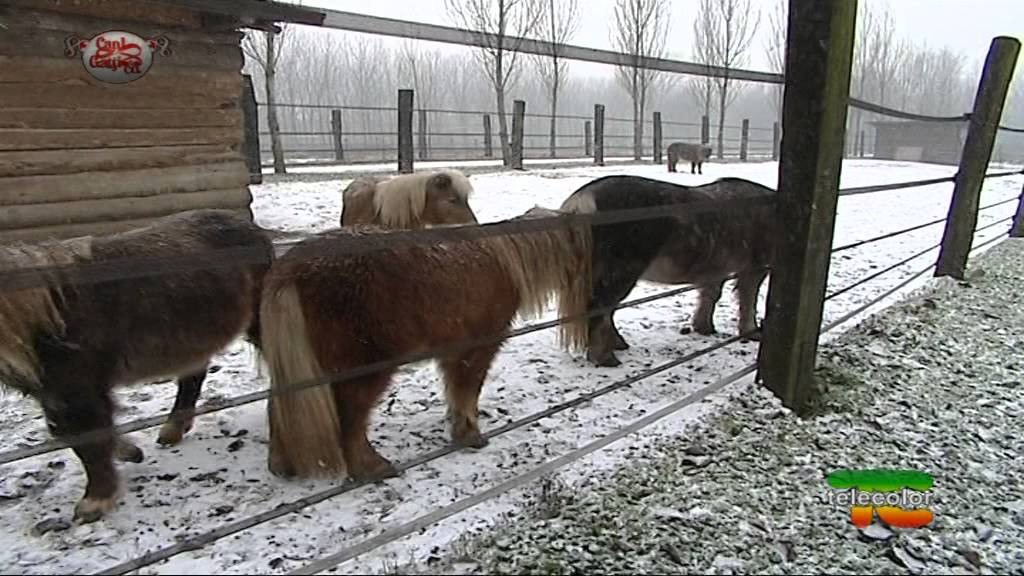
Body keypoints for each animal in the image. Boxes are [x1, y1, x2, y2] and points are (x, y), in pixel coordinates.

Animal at [0, 209, 273, 522]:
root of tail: (253, 229)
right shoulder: (51, 390)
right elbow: (68, 430)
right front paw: (129, 452)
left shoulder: (75, 386)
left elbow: (86, 436)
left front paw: (95, 501)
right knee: (192, 377)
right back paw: (171, 432)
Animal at [258, 207, 590, 481]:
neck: (508, 257)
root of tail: (291, 269)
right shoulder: (478, 348)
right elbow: (468, 390)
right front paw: (470, 435)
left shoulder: (452, 349)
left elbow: (456, 391)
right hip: (360, 369)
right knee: (350, 419)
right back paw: (372, 469)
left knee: (280, 407)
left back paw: (283, 466)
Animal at [557, 175, 776, 367]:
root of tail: (581, 200)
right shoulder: (755, 267)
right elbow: (748, 300)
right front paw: (751, 332)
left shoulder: (715, 271)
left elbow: (711, 295)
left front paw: (704, 327)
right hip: (620, 272)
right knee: (600, 307)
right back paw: (604, 357)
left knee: (606, 309)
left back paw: (617, 344)